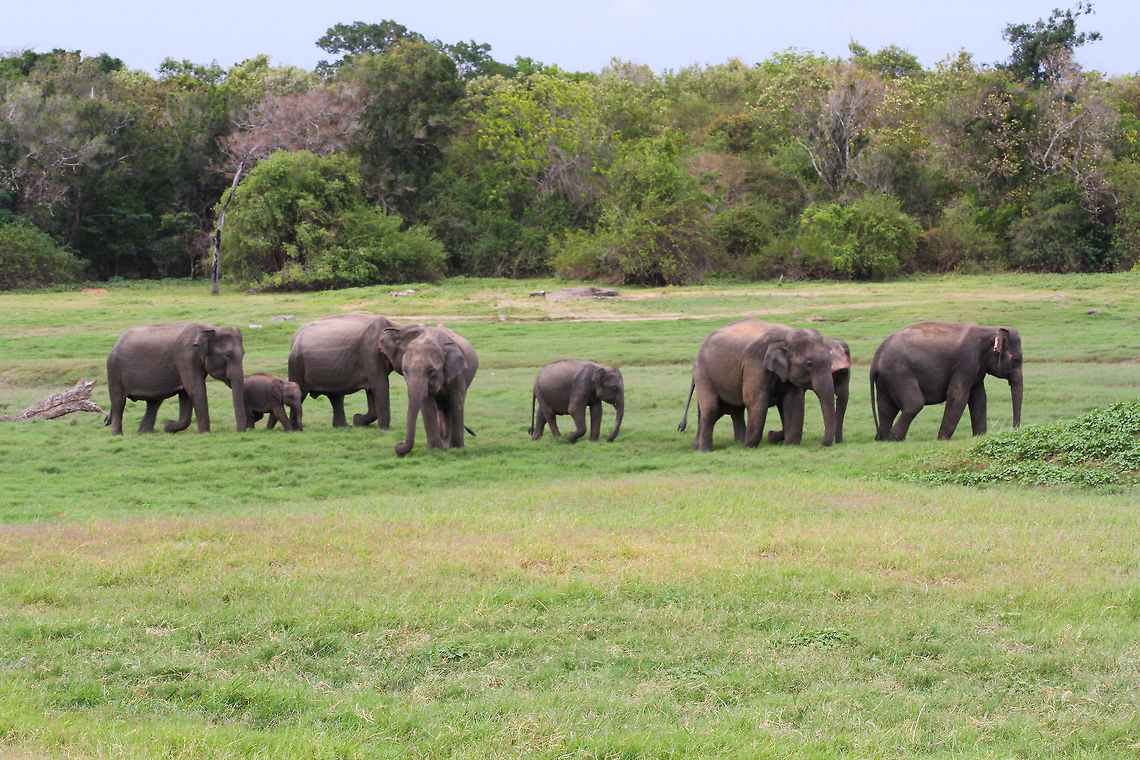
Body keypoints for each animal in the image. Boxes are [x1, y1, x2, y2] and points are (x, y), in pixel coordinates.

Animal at [106, 322, 246, 435]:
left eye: (243, 353)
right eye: (228, 354)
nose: (240, 432)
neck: (208, 328)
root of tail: (115, 344)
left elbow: (186, 394)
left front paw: (168, 426)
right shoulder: (186, 357)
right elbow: (195, 389)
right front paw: (205, 434)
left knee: (154, 402)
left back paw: (145, 433)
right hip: (114, 370)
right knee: (118, 401)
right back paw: (118, 435)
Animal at [379, 323, 478, 455]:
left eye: (431, 371)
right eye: (405, 371)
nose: (398, 444)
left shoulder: (458, 373)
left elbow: (456, 402)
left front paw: (456, 449)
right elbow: (427, 405)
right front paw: (435, 451)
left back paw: (448, 444)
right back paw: (445, 444)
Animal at [678, 318, 842, 452]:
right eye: (809, 364)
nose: (820, 444)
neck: (788, 335)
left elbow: (794, 402)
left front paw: (791, 445)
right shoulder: (755, 365)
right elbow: (756, 402)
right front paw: (749, 448)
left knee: (732, 410)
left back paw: (726, 443)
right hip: (703, 373)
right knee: (711, 409)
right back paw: (706, 450)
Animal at [870, 321, 1023, 441]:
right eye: (1016, 360)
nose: (1014, 428)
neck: (989, 329)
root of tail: (875, 358)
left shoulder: (977, 369)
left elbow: (979, 397)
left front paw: (979, 436)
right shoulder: (965, 362)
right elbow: (957, 395)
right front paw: (942, 440)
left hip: (886, 379)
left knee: (886, 409)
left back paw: (883, 439)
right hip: (898, 372)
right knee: (914, 403)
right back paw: (894, 438)